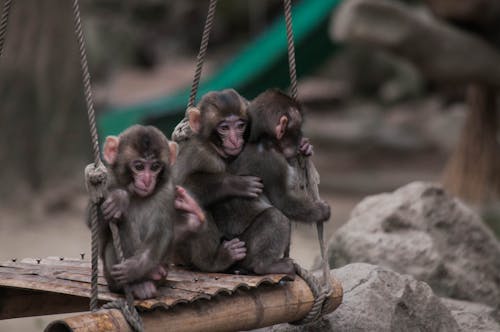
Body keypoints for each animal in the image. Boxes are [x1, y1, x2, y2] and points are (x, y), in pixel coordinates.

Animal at [95, 125, 205, 300]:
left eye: (154, 167)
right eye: (139, 166)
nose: (147, 180)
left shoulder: (166, 191)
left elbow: (162, 232)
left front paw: (133, 268)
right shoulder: (107, 182)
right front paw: (119, 198)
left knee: (191, 223)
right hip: (109, 276)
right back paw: (139, 284)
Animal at [173, 89, 262, 272]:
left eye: (240, 125)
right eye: (224, 128)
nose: (235, 139)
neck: (214, 147)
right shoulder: (201, 155)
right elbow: (182, 186)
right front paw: (237, 184)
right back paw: (214, 260)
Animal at [213, 88, 330, 278]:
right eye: (298, 128)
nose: (301, 137)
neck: (264, 141)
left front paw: (306, 147)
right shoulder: (273, 164)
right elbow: (284, 201)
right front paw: (321, 211)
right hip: (241, 248)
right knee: (275, 217)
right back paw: (264, 265)